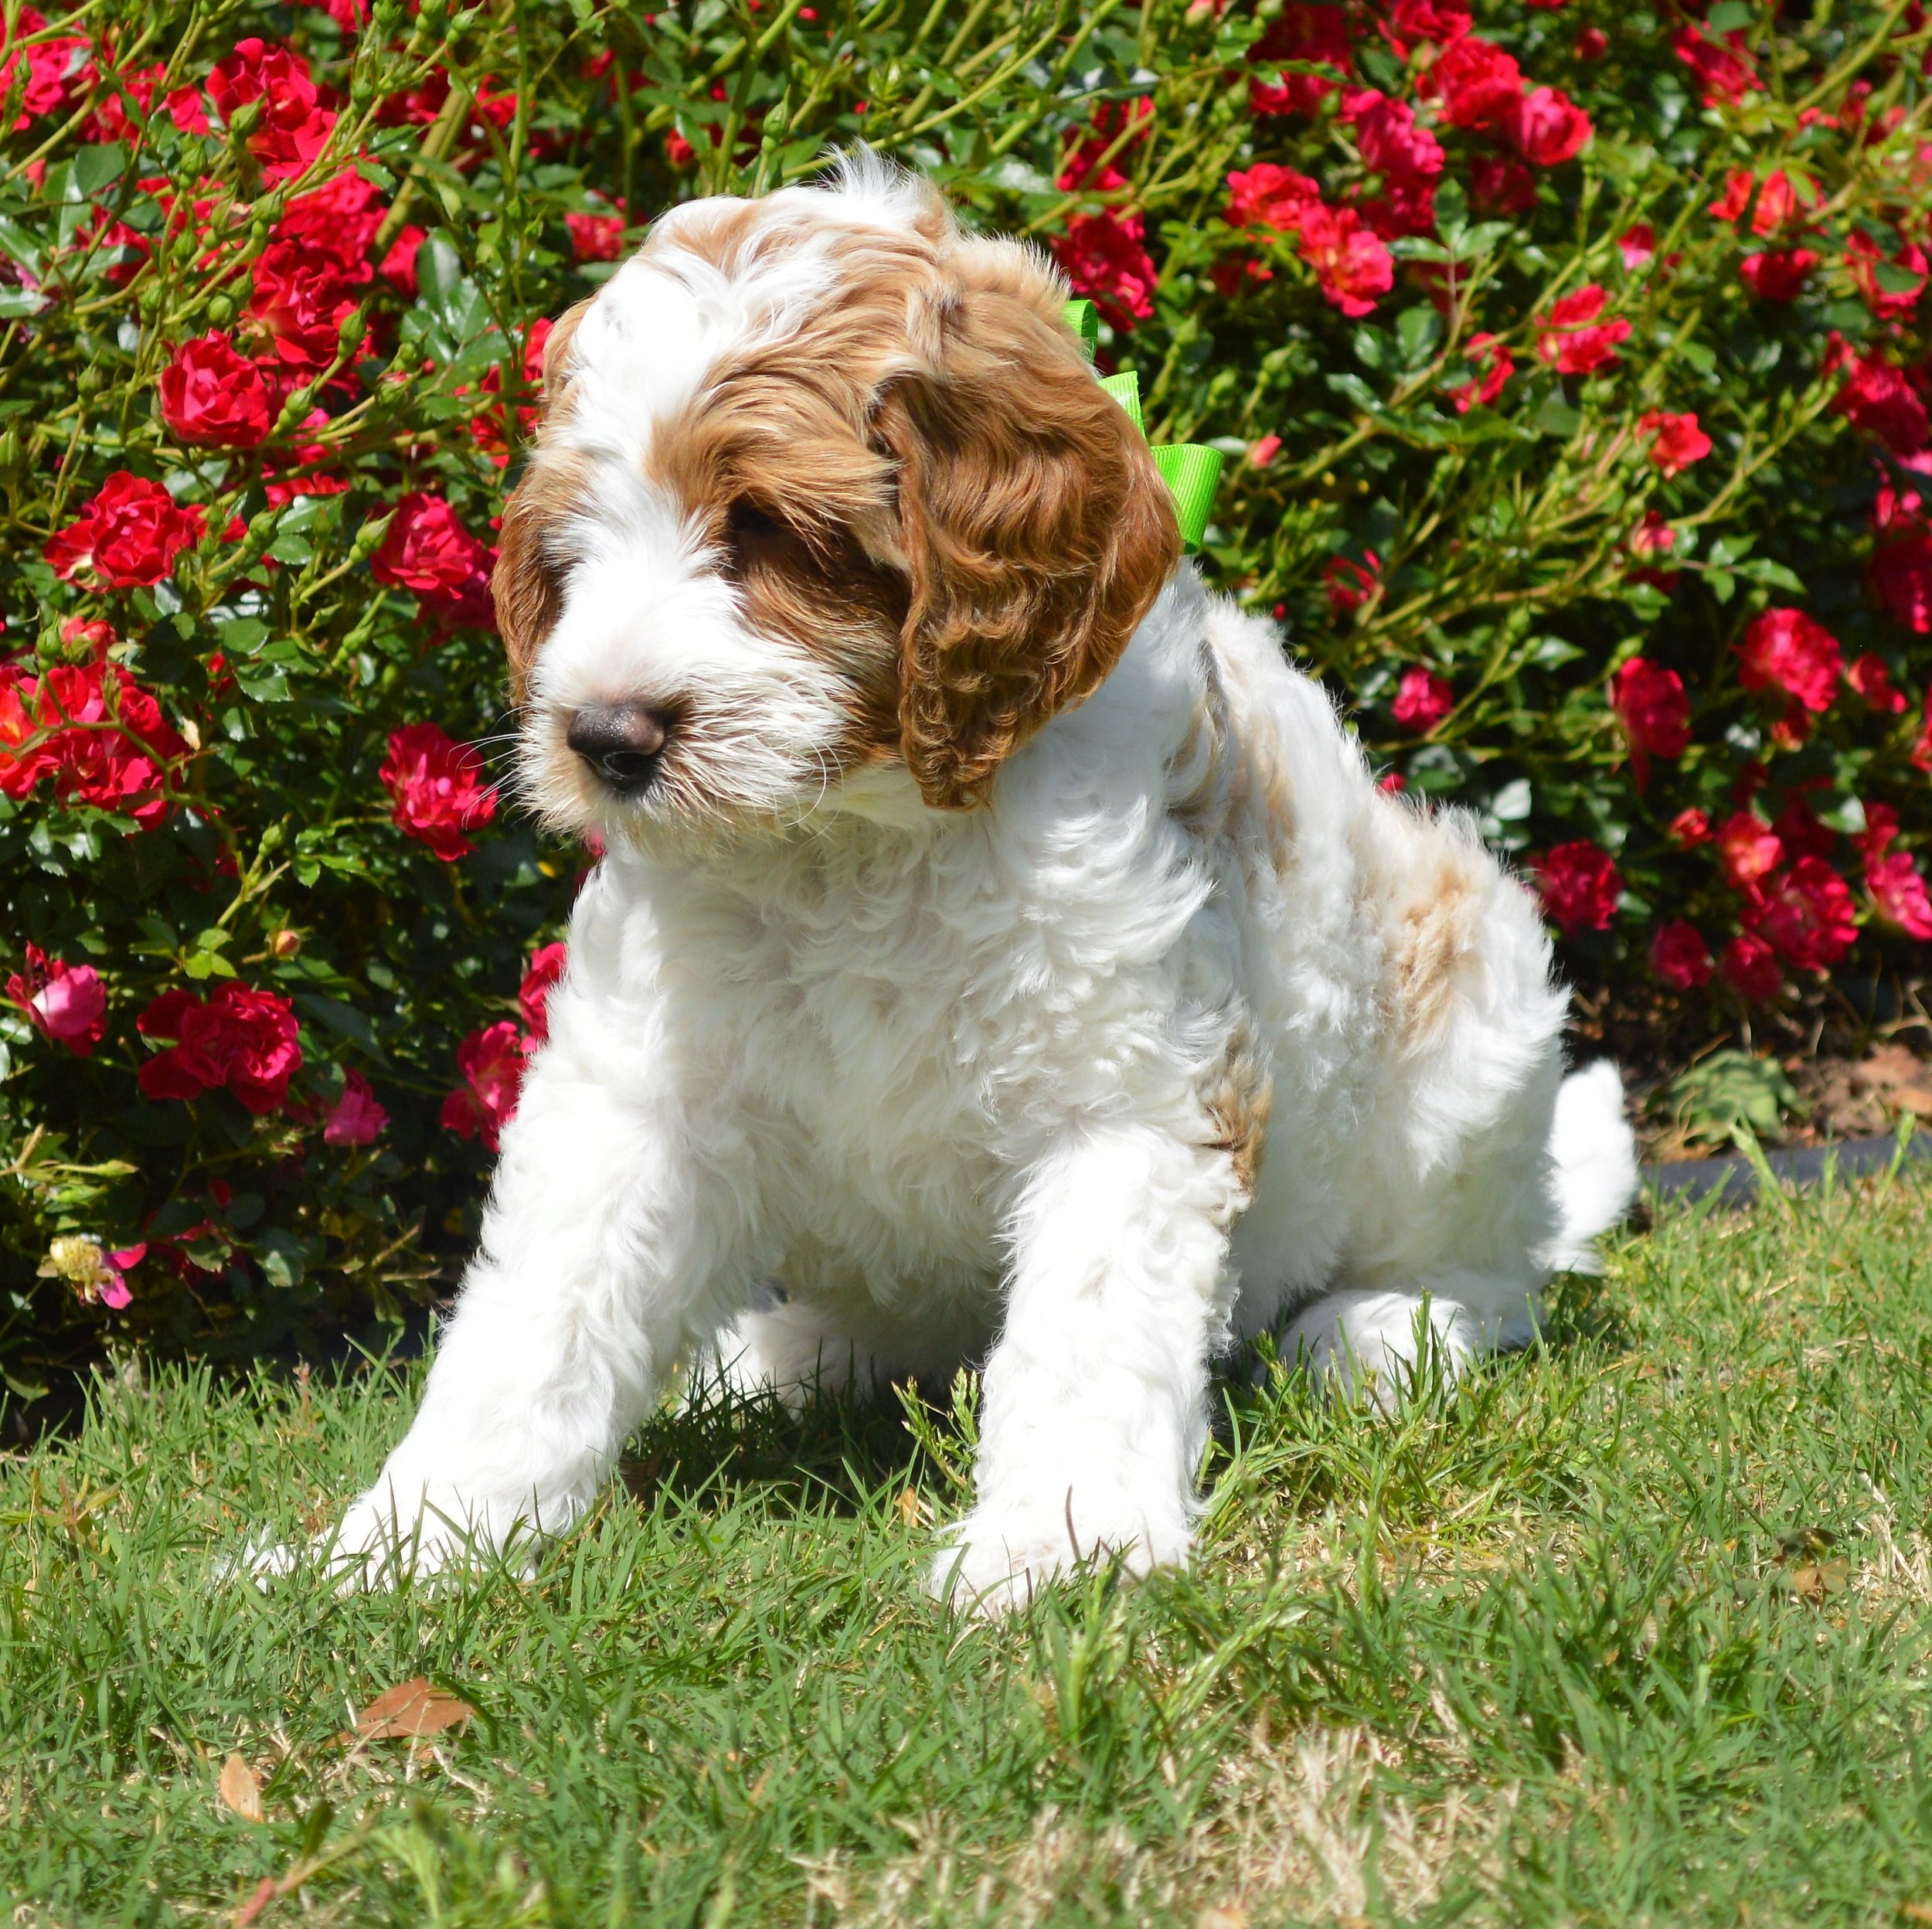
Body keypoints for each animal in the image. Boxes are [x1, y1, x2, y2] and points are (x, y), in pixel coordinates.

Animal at [332, 155, 1631, 1615]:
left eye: (765, 528)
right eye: (569, 555)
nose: (606, 739)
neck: (855, 829)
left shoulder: (1130, 1091)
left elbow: (1087, 1331)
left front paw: (1056, 1546)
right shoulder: (638, 1091)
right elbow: (537, 1320)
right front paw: (411, 1537)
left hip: (1475, 1024)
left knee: (1500, 1272)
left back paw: (1380, 1330)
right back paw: (768, 1359)